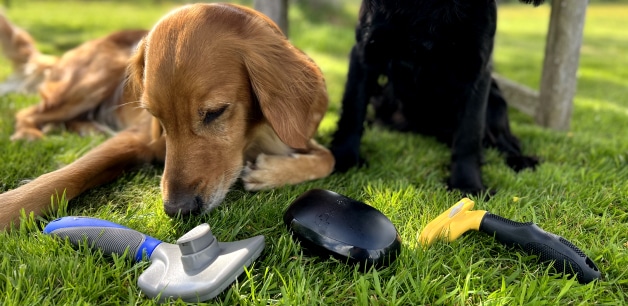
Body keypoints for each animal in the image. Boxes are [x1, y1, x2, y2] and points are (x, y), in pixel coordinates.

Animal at [0, 2, 334, 230]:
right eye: (156, 115)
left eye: (215, 112)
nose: (178, 209)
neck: (250, 139)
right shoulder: (137, 137)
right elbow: (71, 174)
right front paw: (9, 207)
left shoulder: (292, 132)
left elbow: (328, 159)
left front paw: (269, 172)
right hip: (90, 81)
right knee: (31, 112)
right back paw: (30, 133)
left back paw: (88, 128)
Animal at [332, 0, 544, 195]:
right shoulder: (365, 53)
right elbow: (352, 111)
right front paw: (343, 160)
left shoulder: (476, 69)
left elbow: (470, 133)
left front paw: (467, 184)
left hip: (495, 100)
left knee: (507, 142)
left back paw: (520, 160)